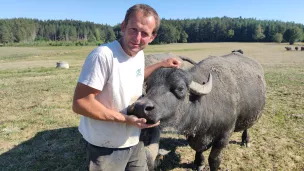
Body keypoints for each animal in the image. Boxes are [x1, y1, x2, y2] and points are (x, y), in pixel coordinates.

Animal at [128, 52, 266, 170]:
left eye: (180, 88)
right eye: (148, 87)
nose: (140, 107)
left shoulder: (224, 136)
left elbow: (214, 160)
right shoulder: (194, 135)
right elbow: (198, 149)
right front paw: (199, 163)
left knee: (246, 127)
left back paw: (246, 140)